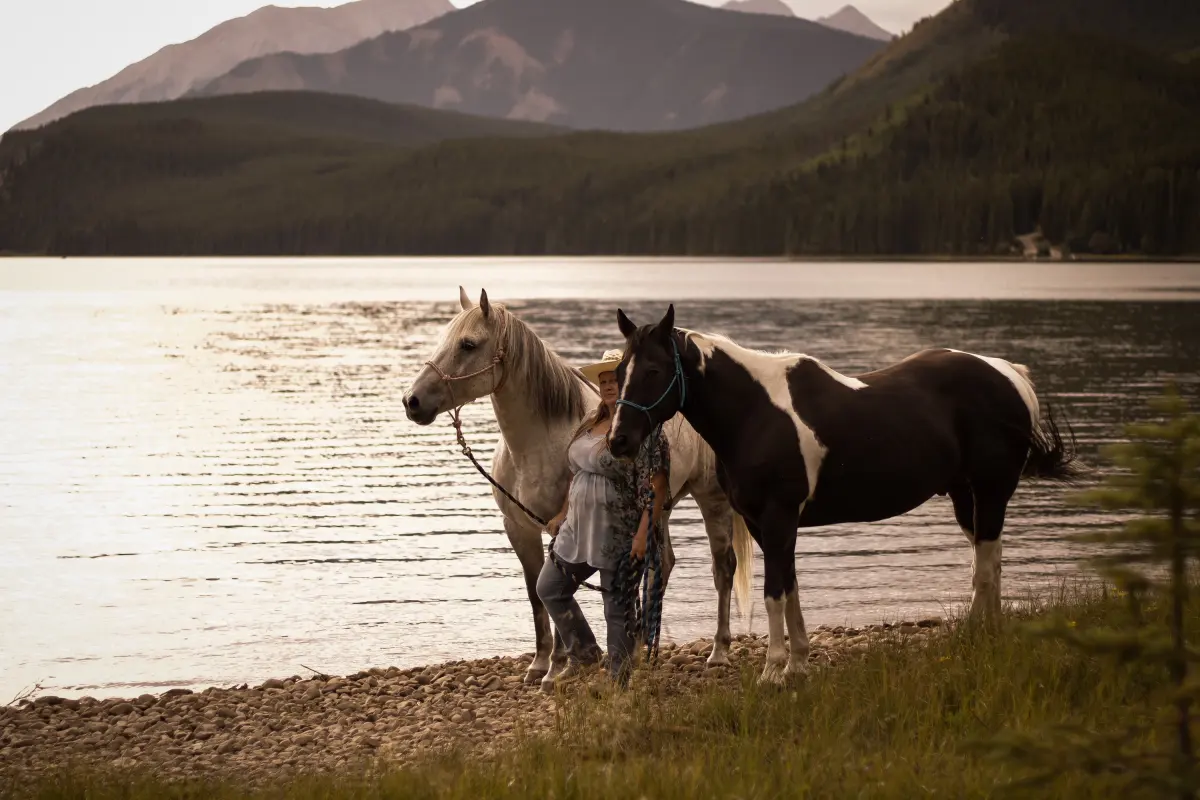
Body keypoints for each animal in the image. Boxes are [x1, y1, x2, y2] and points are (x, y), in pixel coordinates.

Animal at [401, 288, 755, 689]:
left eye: (468, 344)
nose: (412, 401)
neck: (537, 444)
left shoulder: (561, 528)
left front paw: (557, 667)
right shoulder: (519, 528)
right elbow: (536, 593)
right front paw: (540, 664)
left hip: (712, 498)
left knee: (723, 568)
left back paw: (718, 651)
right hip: (657, 508)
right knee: (660, 565)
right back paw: (640, 648)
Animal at [608, 304, 1081, 685]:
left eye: (653, 371)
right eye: (618, 372)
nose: (618, 441)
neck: (755, 414)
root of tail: (1010, 375)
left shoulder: (779, 517)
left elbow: (774, 593)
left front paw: (772, 671)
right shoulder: (765, 525)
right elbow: (791, 587)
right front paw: (798, 662)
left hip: (991, 490)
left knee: (984, 565)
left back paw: (976, 633)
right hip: (967, 497)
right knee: (991, 559)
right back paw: (988, 632)